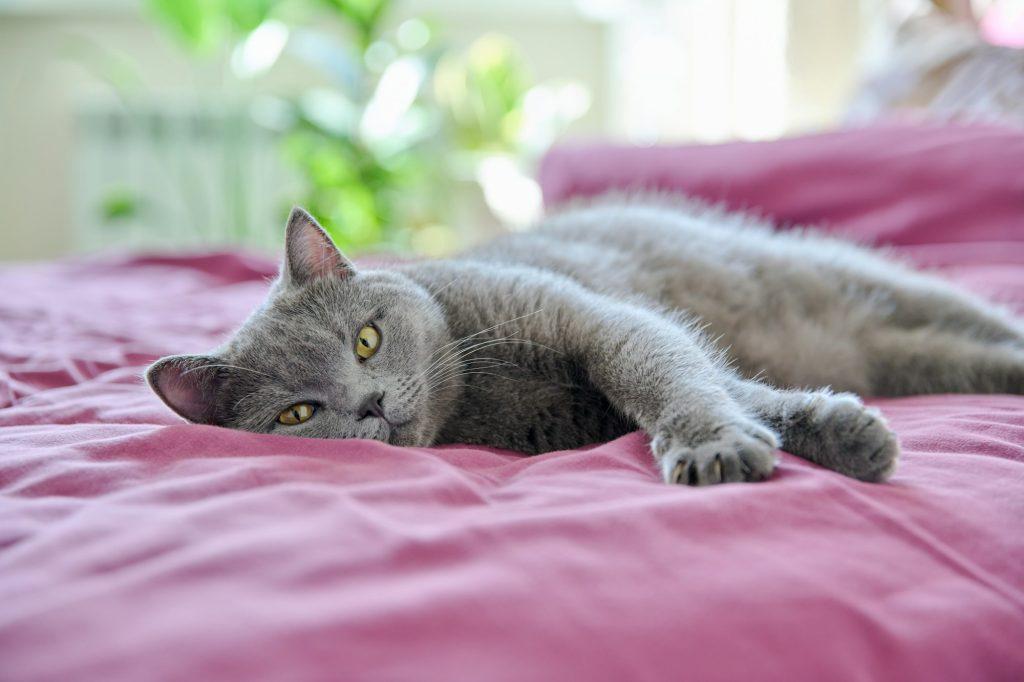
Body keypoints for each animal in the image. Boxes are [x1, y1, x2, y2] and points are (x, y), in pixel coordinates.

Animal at [146, 192, 1024, 483]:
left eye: (365, 341)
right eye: (298, 414)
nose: (370, 404)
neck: (478, 388)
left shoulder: (601, 323)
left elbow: (670, 376)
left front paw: (711, 447)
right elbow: (744, 391)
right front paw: (844, 434)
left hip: (878, 281)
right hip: (908, 356)